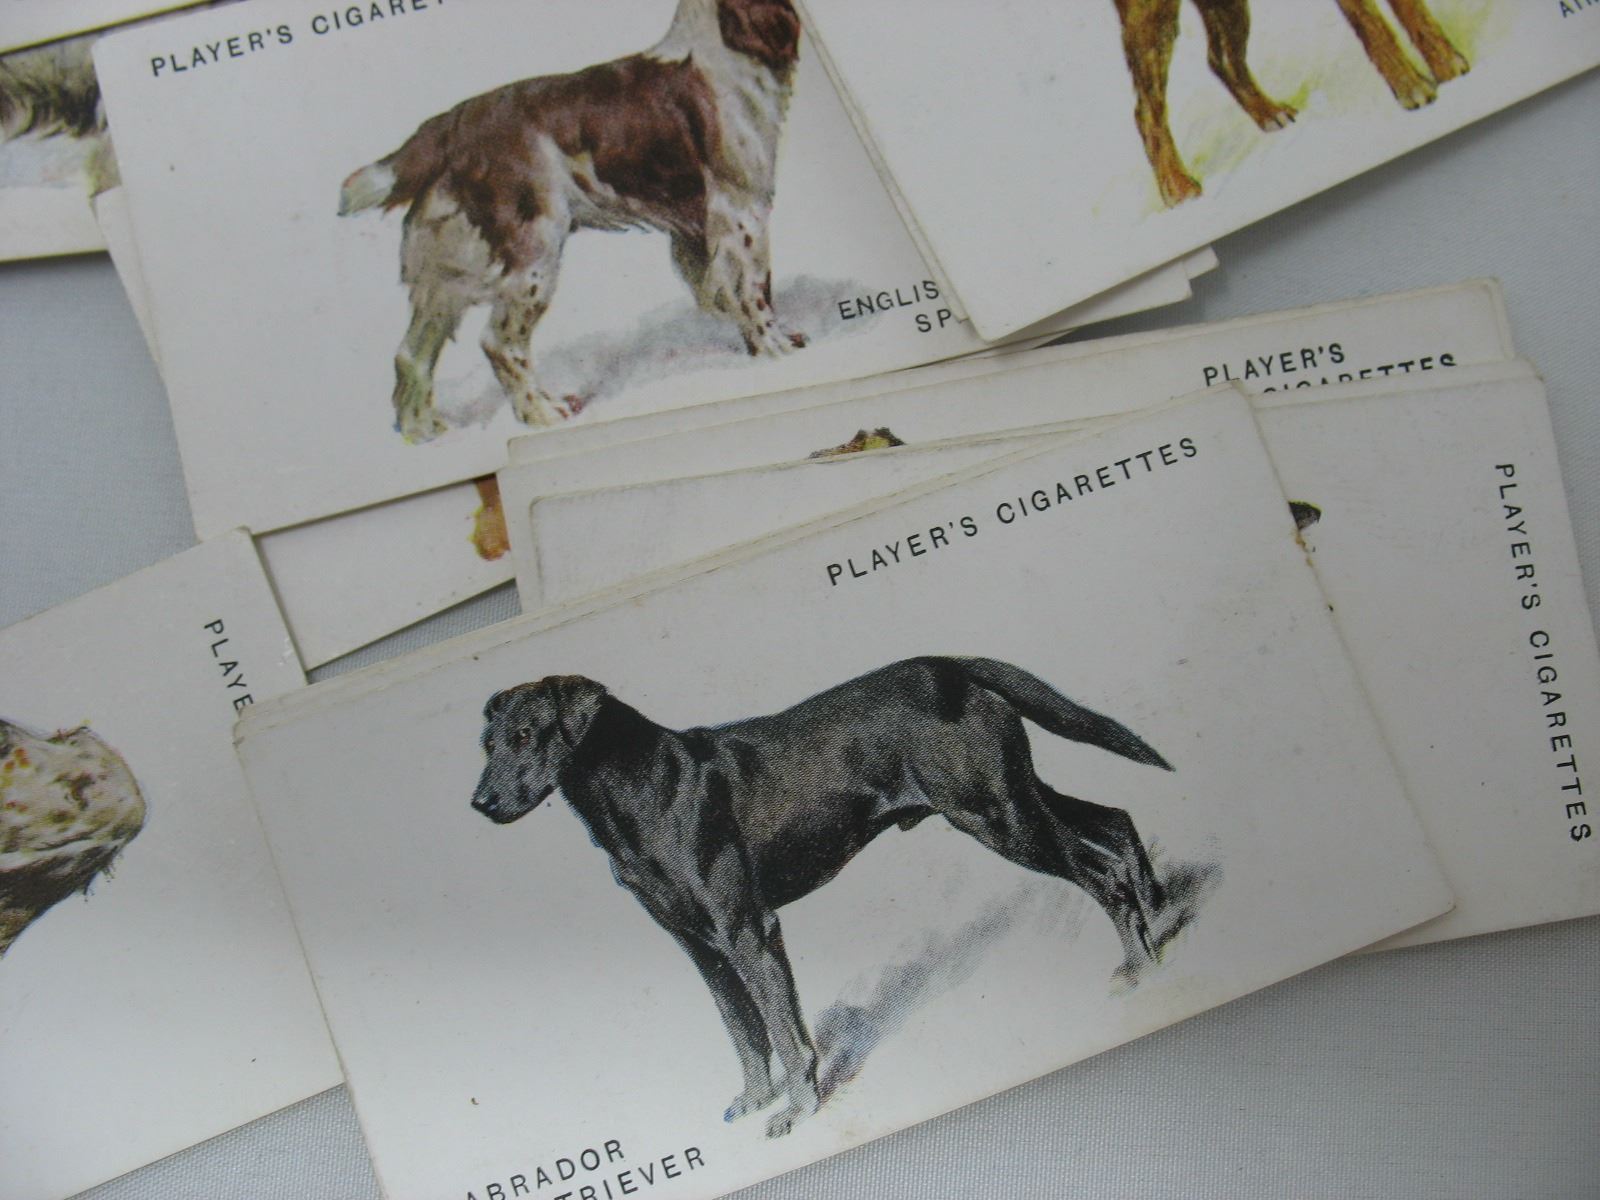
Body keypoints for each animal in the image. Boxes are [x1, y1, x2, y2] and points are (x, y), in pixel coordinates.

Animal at [338, 0, 807, 444]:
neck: (724, 44)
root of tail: (449, 126)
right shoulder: (740, 208)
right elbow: (753, 288)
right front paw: (776, 348)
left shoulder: (696, 227)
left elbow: (726, 291)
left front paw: (759, 345)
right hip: (534, 252)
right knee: (499, 342)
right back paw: (544, 412)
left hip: (450, 270)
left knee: (411, 353)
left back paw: (421, 431)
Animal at [471, 656, 1178, 1137]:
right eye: (487, 743)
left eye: (528, 736)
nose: (479, 803)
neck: (642, 789)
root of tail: (949, 665)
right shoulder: (702, 951)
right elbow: (743, 1030)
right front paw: (756, 1099)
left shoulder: (749, 932)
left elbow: (785, 1033)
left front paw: (799, 1111)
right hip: (1016, 800)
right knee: (1116, 824)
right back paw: (1163, 921)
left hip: (999, 817)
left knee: (1102, 876)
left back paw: (1136, 964)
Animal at [1116, 0, 1471, 206]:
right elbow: (1372, 24)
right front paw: (1410, 86)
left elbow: (1414, 12)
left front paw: (1446, 63)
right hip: (1151, 18)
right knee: (1146, 109)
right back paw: (1177, 187)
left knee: (1222, 60)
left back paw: (1269, 113)